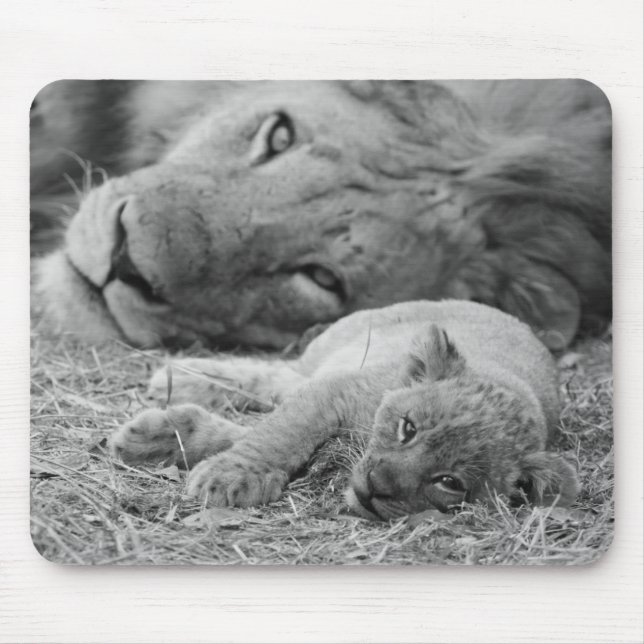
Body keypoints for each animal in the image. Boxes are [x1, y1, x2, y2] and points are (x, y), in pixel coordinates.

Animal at [109, 301, 580, 519]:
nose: (375, 486)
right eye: (408, 428)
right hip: (333, 352)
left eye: (450, 483)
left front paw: (165, 437)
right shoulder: (338, 390)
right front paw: (230, 476)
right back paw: (179, 375)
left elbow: (249, 433)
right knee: (275, 377)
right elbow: (278, 434)